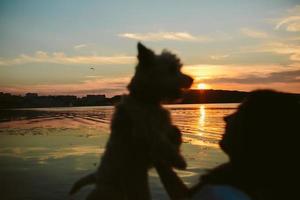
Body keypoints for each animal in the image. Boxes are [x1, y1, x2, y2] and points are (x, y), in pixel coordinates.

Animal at [69, 43, 193, 199]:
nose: (192, 79)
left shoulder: (163, 125)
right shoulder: (143, 129)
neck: (147, 100)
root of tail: (97, 176)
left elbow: (175, 132)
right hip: (110, 190)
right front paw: (178, 160)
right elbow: (159, 140)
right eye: (172, 69)